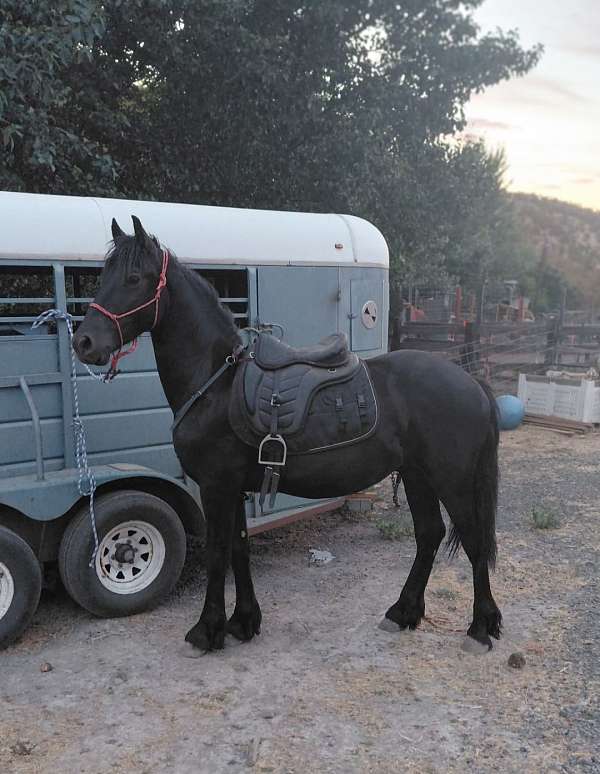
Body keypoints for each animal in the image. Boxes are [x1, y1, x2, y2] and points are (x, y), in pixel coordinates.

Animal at [73, 216, 502, 656]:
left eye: (134, 278)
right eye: (102, 276)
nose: (83, 342)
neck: (216, 384)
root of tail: (471, 382)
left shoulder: (216, 486)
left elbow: (217, 554)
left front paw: (207, 630)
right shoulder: (235, 488)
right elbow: (239, 548)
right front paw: (243, 622)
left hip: (451, 480)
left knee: (473, 540)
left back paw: (480, 628)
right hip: (417, 476)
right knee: (429, 534)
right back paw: (403, 612)